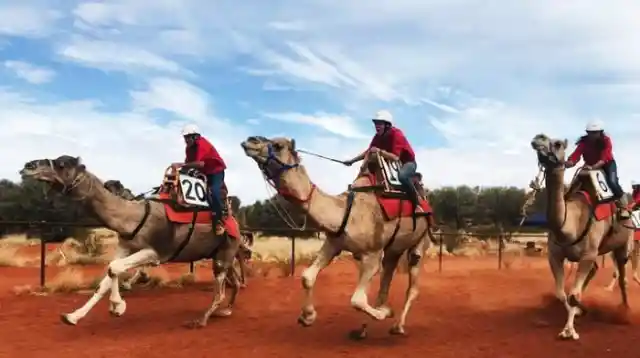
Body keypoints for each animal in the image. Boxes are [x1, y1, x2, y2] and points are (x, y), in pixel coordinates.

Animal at [18, 155, 242, 328]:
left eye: (62, 164)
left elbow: (114, 268)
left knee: (220, 291)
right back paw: (227, 311)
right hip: (222, 253)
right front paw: (72, 317)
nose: (28, 166)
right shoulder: (125, 248)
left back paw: (201, 320)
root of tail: (235, 223)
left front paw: (118, 307)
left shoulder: (155, 252)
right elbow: (106, 277)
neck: (133, 217)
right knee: (235, 281)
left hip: (224, 253)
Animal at [240, 136, 436, 338]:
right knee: (387, 276)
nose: (250, 140)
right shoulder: (333, 243)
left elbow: (357, 299)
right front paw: (307, 317)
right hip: (393, 249)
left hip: (420, 241)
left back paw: (398, 326)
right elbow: (307, 277)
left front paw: (384, 313)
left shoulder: (372, 253)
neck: (344, 212)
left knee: (412, 286)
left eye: (278, 145)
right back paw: (364, 328)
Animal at [528, 133, 636, 340]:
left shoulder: (588, 254)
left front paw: (570, 331)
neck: (569, 225)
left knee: (622, 277)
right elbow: (563, 294)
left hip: (624, 245)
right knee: (594, 272)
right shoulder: (555, 255)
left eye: (558, 144)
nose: (538, 138)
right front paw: (576, 315)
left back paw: (625, 311)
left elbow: (573, 295)